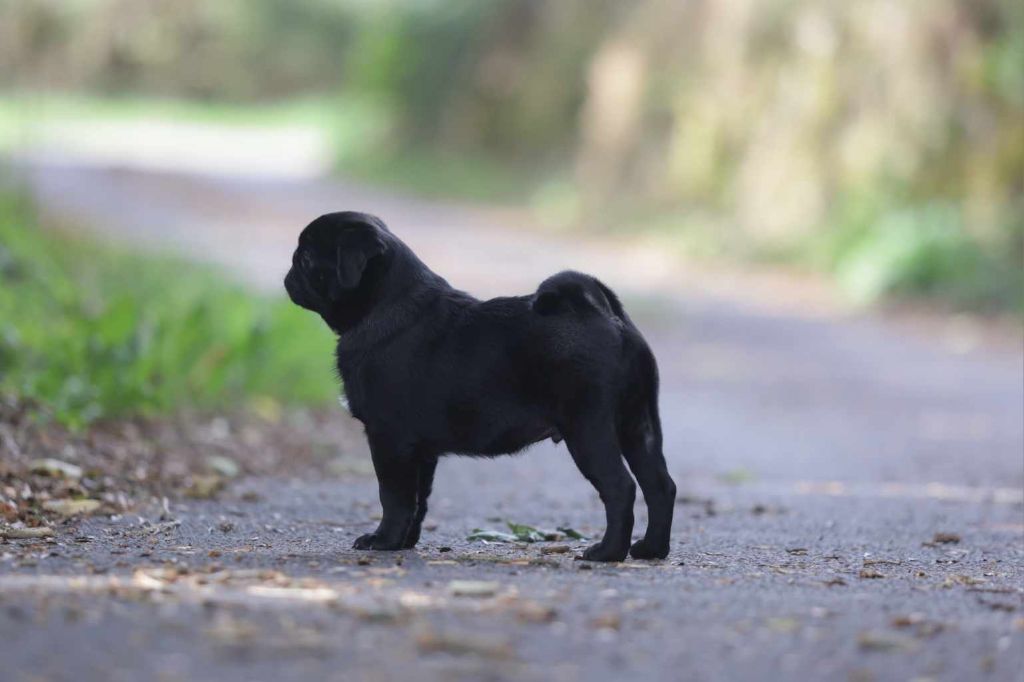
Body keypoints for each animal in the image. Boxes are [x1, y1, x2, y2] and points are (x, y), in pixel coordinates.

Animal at [284, 212, 675, 561]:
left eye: (306, 259)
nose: (288, 276)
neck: (386, 306)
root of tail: (606, 315)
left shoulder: (388, 439)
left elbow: (393, 496)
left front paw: (383, 540)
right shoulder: (420, 451)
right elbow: (418, 501)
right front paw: (405, 542)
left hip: (588, 429)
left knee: (620, 487)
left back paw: (607, 553)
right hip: (639, 425)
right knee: (660, 486)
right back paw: (651, 549)